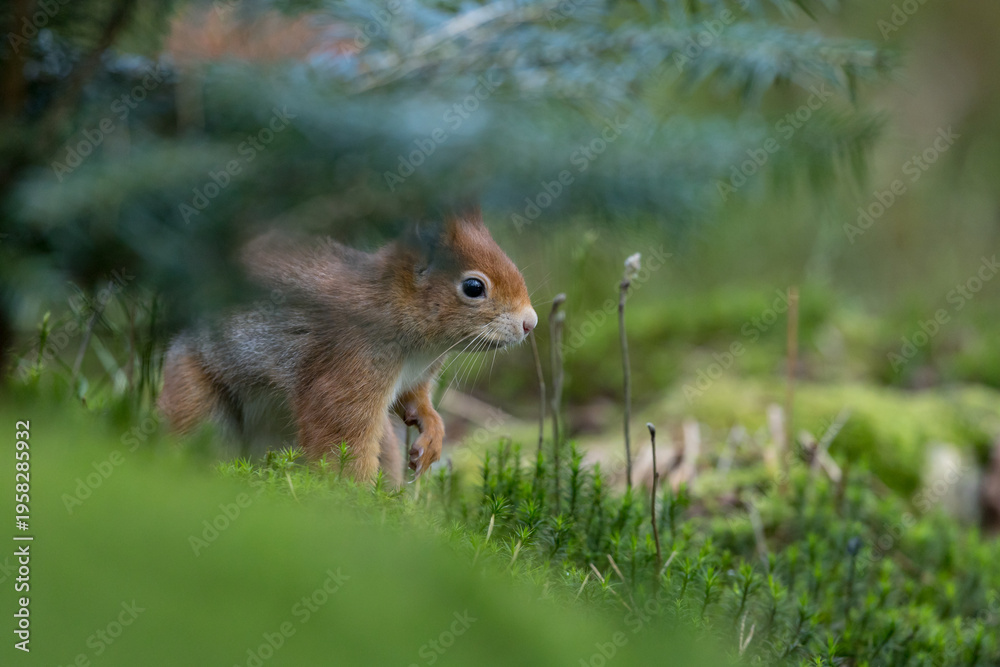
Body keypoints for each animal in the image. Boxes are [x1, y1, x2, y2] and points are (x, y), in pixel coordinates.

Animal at [157, 210, 537, 484]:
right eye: (473, 287)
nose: (530, 323)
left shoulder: (414, 376)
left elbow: (416, 399)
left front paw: (432, 434)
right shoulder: (348, 364)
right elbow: (342, 441)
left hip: (384, 444)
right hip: (197, 404)